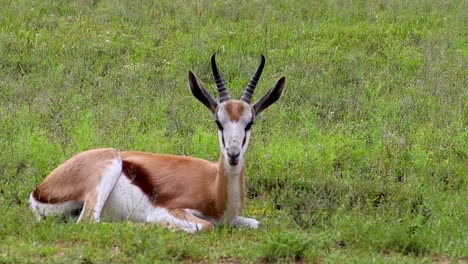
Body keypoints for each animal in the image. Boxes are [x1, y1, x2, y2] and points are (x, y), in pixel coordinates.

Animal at [30, 54, 286, 233]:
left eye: (249, 122)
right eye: (218, 122)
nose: (233, 154)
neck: (215, 191)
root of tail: (40, 189)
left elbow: (254, 222)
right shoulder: (173, 210)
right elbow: (206, 226)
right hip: (108, 168)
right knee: (90, 221)